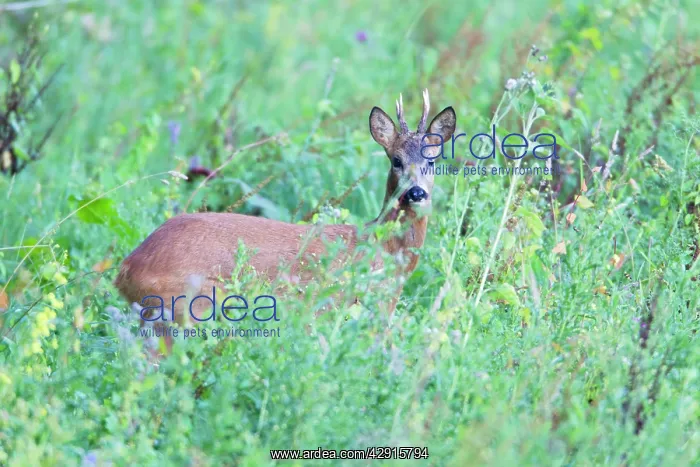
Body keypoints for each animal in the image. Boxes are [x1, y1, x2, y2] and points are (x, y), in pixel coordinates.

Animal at [114, 89, 456, 353]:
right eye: (396, 160)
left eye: (432, 160)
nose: (416, 193)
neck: (384, 249)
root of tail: (126, 268)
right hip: (184, 305)